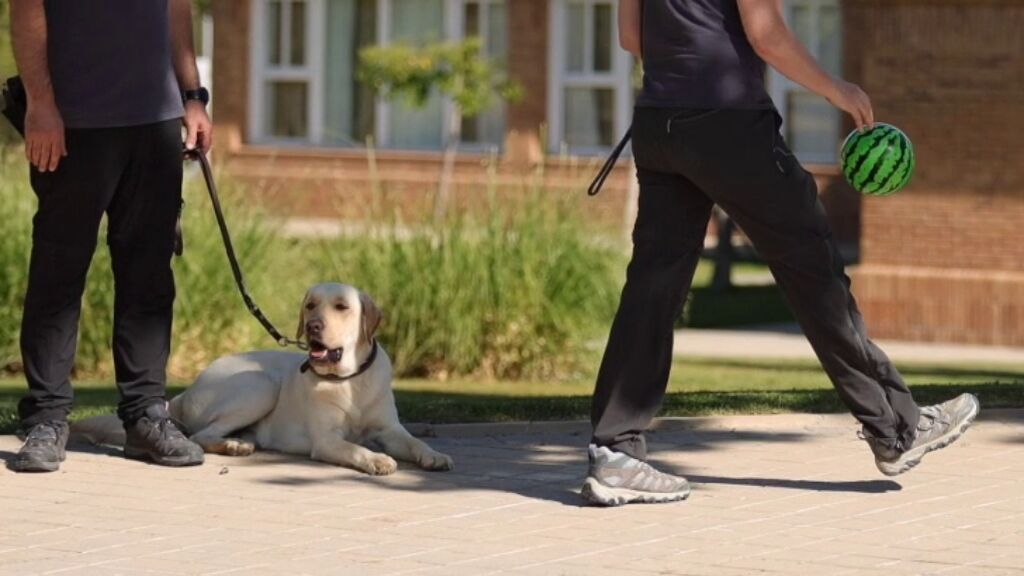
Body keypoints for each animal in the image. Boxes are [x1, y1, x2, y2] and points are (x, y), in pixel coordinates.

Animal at [75, 282, 452, 475]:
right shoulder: (327, 441)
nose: (313, 326)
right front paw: (376, 459)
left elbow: (412, 442)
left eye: (342, 307)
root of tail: (181, 396)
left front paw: (433, 454)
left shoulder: (389, 429)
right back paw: (234, 445)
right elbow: (355, 448)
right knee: (201, 434)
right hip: (260, 384)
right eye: (311, 305)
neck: (349, 380)